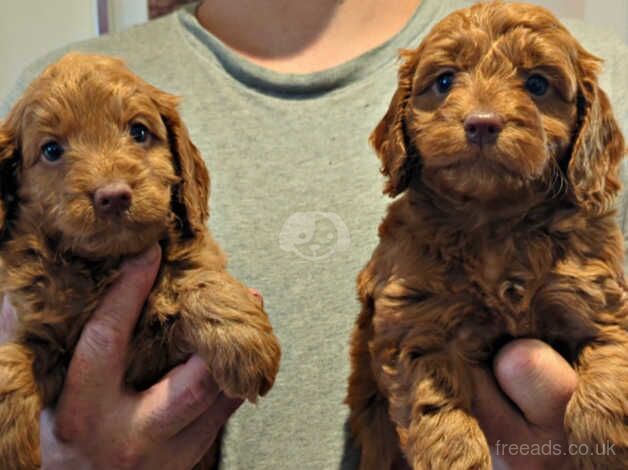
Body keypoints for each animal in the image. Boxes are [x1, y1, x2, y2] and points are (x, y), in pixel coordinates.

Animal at [0, 52, 280, 470]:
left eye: (139, 132)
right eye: (51, 150)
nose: (113, 195)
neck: (106, 265)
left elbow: (198, 275)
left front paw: (242, 339)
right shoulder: (43, 329)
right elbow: (12, 361)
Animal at [346, 3, 624, 470]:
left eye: (537, 83)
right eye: (444, 81)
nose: (481, 124)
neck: (495, 222)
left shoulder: (598, 302)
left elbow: (608, 376)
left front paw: (606, 451)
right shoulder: (415, 322)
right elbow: (437, 410)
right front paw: (455, 456)